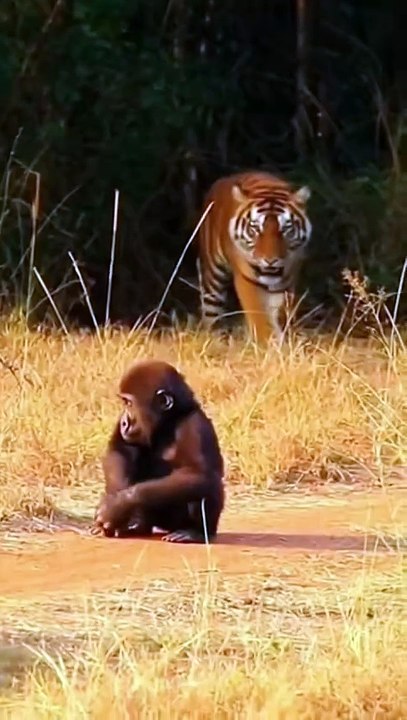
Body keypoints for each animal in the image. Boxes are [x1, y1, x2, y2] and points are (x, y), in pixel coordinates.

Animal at [90, 359, 225, 543]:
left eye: (129, 403)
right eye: (124, 403)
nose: (124, 422)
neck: (170, 420)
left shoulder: (197, 425)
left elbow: (199, 474)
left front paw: (117, 504)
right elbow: (118, 451)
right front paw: (116, 505)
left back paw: (194, 531)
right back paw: (139, 525)